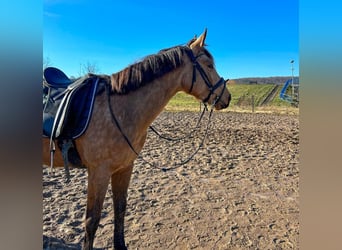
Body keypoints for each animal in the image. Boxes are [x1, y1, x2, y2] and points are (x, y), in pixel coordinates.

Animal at [42, 28, 230, 249]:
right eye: (209, 65)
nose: (227, 97)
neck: (119, 109)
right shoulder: (98, 172)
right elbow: (92, 221)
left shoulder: (124, 167)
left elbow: (120, 208)